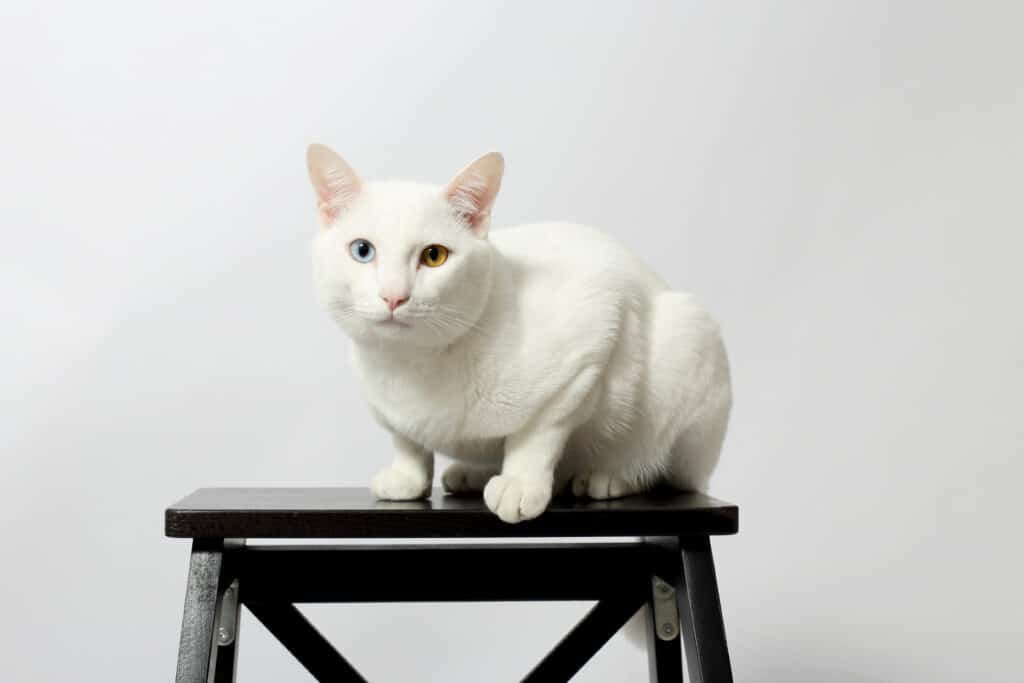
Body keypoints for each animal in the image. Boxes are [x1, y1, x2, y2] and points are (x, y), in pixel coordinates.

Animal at [307, 145, 733, 524]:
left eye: (434, 256)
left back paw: (608, 476)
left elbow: (538, 434)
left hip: (688, 337)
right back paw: (473, 473)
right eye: (363, 251)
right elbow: (407, 441)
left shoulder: (591, 339)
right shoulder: (390, 412)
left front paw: (520, 483)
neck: (409, 365)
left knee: (658, 466)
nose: (394, 296)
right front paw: (407, 477)